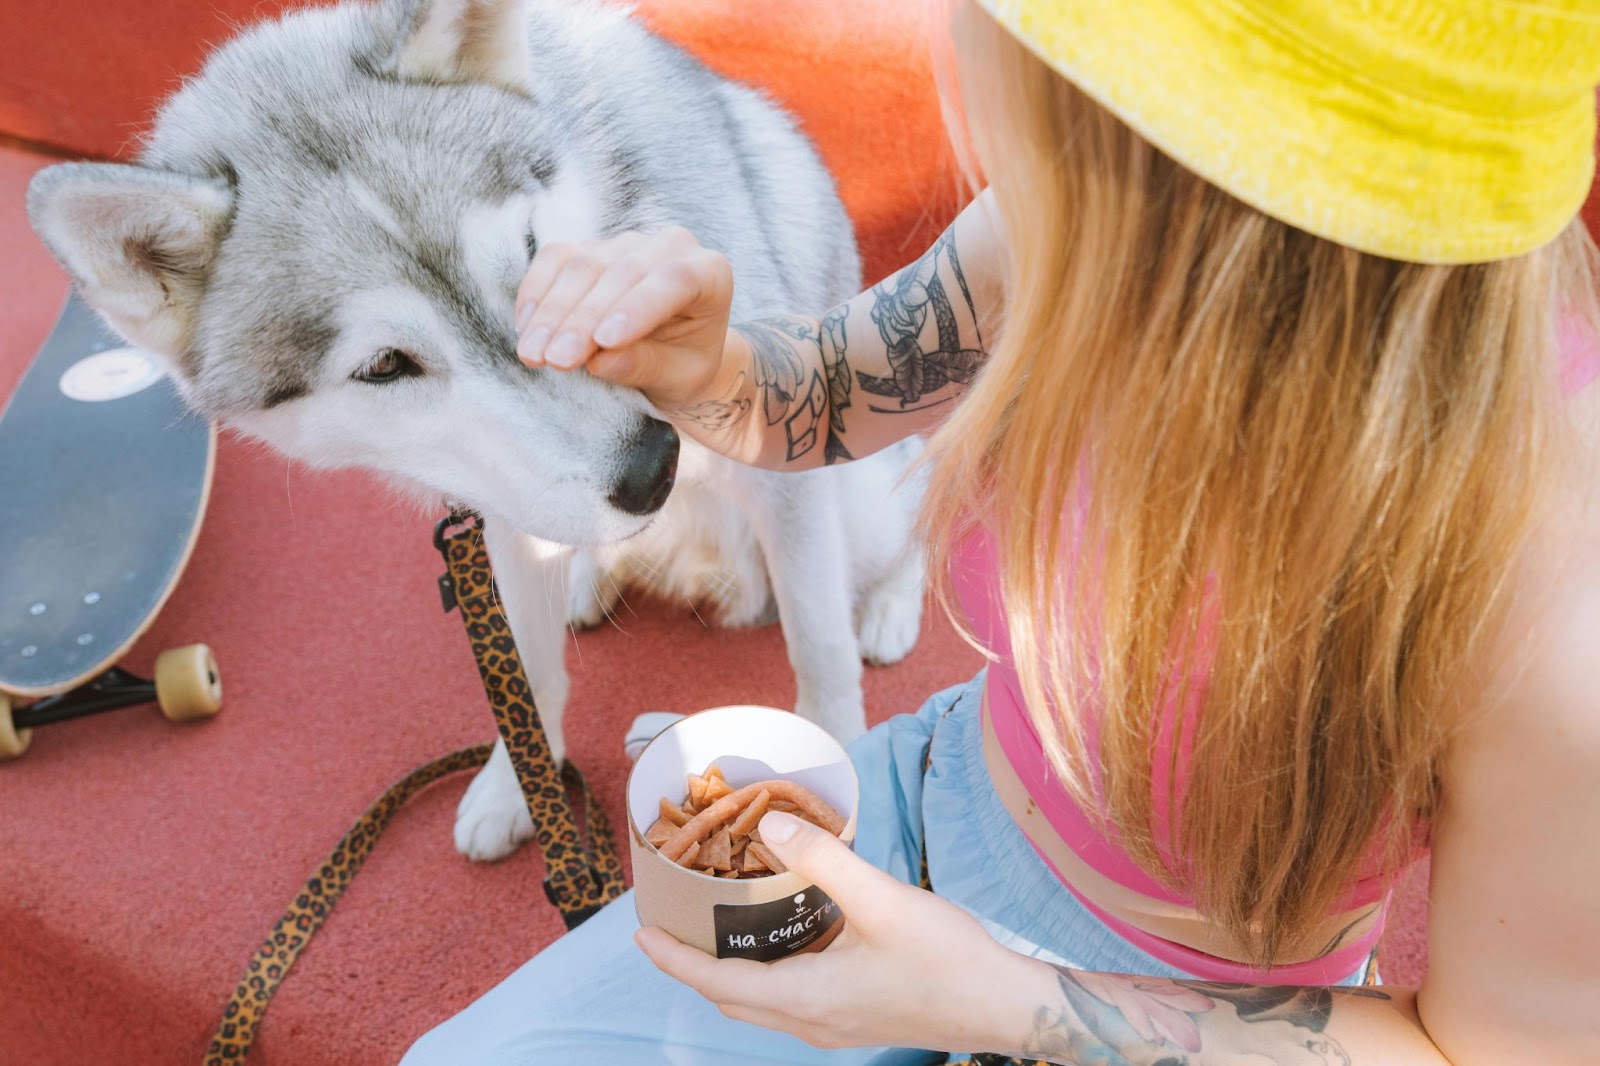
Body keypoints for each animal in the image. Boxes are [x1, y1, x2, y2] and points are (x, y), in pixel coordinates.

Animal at [25, 0, 928, 857]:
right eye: (385, 366)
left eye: (532, 254)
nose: (652, 468)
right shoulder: (508, 516)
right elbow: (525, 671)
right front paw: (520, 786)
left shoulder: (785, 450)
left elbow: (818, 648)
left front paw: (837, 771)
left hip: (857, 491)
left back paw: (889, 606)